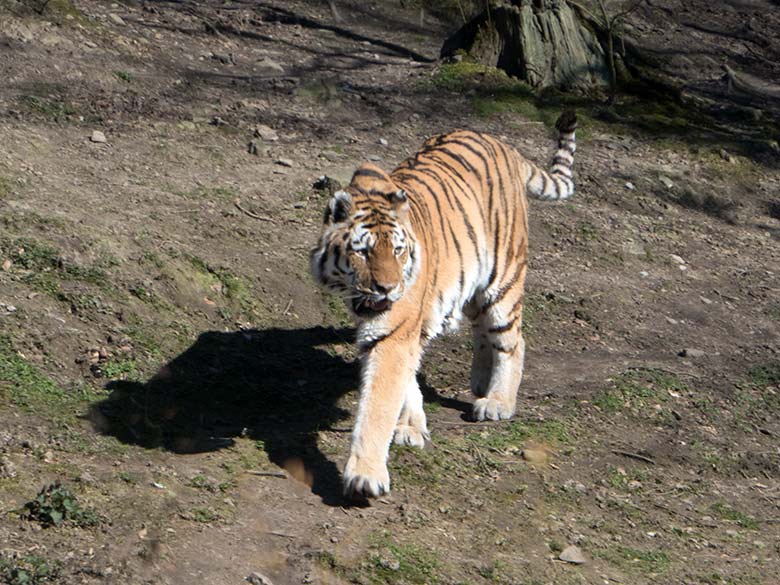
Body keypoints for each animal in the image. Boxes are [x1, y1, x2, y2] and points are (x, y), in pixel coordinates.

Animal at [308, 110, 576, 498]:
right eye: (363, 251)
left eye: (397, 250)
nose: (387, 288)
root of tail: (503, 144)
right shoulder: (397, 331)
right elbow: (405, 381)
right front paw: (411, 426)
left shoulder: (394, 333)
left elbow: (379, 403)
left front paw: (365, 475)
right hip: (471, 285)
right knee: (482, 329)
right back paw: (480, 381)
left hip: (503, 279)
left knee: (513, 339)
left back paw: (498, 402)